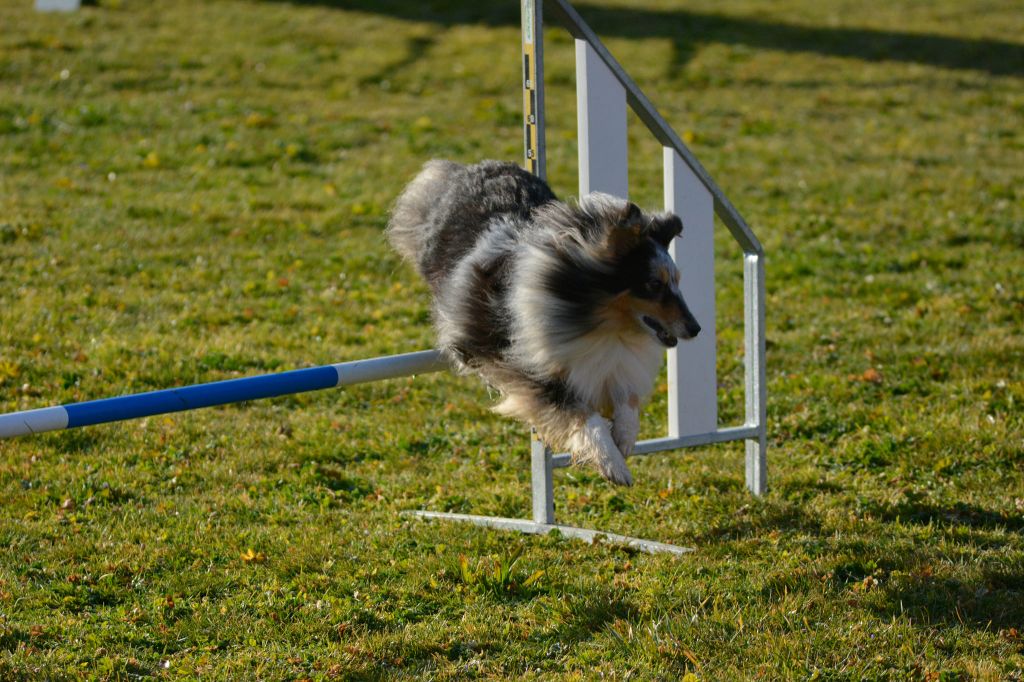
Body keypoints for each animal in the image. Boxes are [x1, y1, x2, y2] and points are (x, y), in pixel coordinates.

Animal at [387, 160, 700, 483]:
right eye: (653, 284)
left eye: (677, 281)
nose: (696, 329)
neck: (595, 321)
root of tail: (473, 167)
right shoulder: (521, 363)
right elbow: (582, 414)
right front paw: (613, 464)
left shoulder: (612, 361)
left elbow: (628, 399)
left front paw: (625, 438)